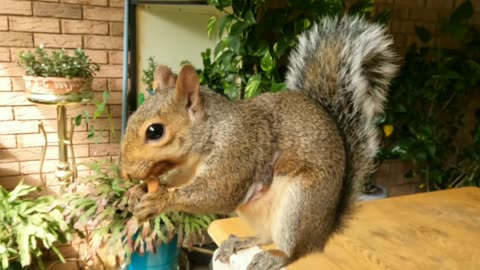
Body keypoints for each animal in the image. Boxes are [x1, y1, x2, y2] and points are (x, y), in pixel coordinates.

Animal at [120, 15, 398, 268]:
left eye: (155, 131)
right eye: (132, 116)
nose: (125, 172)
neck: (211, 132)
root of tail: (324, 233)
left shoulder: (238, 151)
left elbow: (217, 193)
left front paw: (160, 200)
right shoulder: (188, 168)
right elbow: (179, 179)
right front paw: (138, 191)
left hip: (300, 207)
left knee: (294, 248)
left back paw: (277, 256)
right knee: (265, 235)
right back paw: (239, 241)